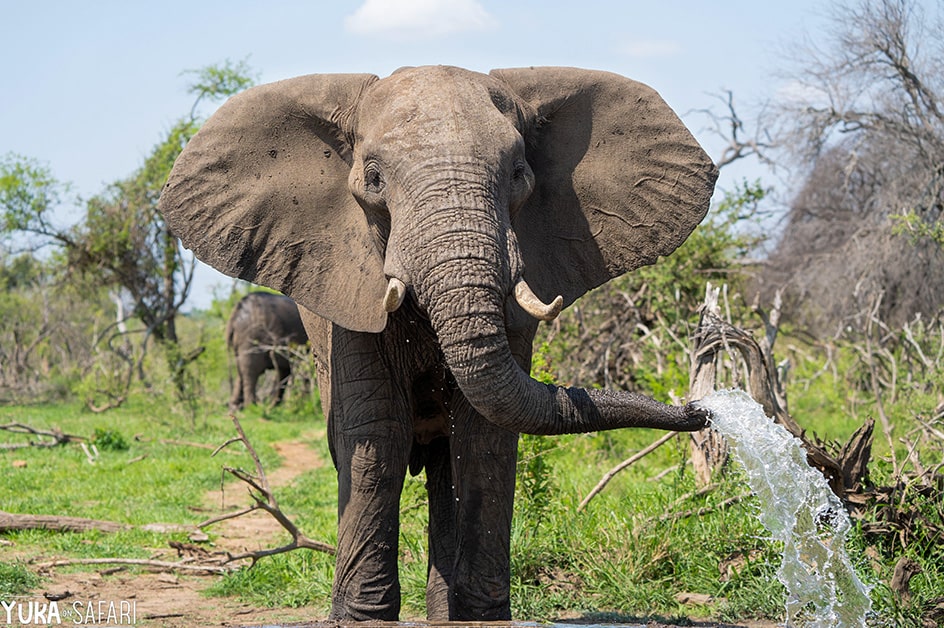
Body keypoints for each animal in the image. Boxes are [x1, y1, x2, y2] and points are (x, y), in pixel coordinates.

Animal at [160, 65, 716, 624]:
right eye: (374, 179)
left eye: (519, 173)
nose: (699, 410)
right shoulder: (345, 291)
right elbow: (378, 430)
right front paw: (363, 617)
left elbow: (485, 433)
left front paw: (483, 615)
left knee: (447, 461)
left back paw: (447, 612)